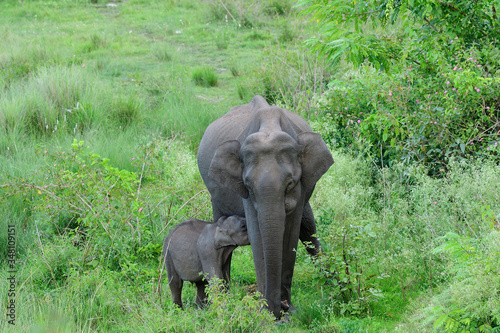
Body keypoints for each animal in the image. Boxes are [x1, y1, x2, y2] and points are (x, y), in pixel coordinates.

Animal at [197, 94, 334, 316]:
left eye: (290, 183)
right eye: (248, 186)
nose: (280, 306)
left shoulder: (302, 185)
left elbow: (291, 234)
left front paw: (287, 312)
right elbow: (256, 234)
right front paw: (266, 312)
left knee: (308, 229)